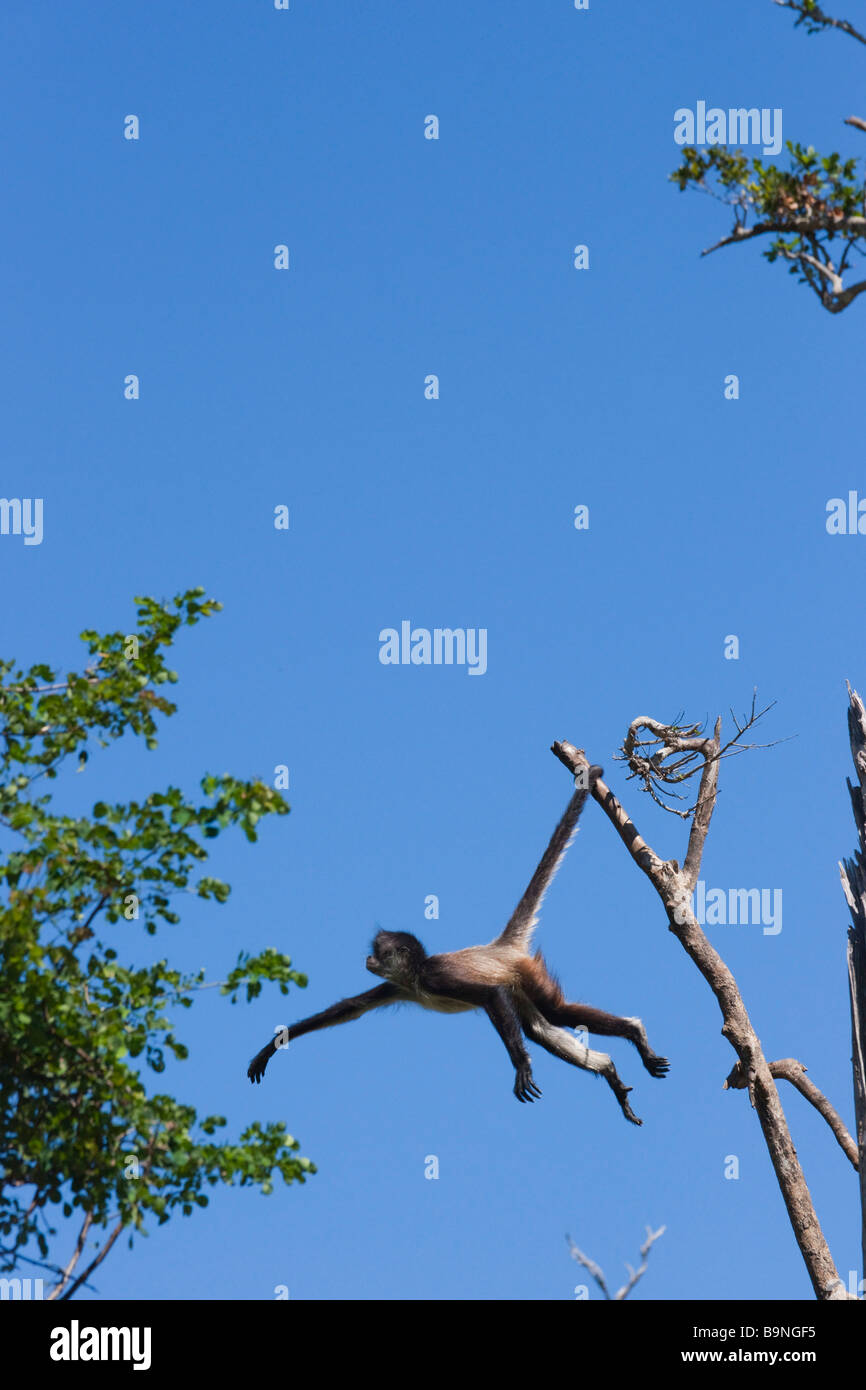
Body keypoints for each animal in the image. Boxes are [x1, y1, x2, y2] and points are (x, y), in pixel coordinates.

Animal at [247, 767, 667, 1123]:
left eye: (379, 952)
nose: (367, 959)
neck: (417, 975)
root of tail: (500, 946)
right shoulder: (398, 986)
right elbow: (348, 1010)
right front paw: (270, 1048)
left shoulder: (434, 979)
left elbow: (489, 996)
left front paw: (521, 1066)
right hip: (519, 983)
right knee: (537, 1028)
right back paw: (610, 1070)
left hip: (524, 972)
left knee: (556, 1011)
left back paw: (635, 1034)